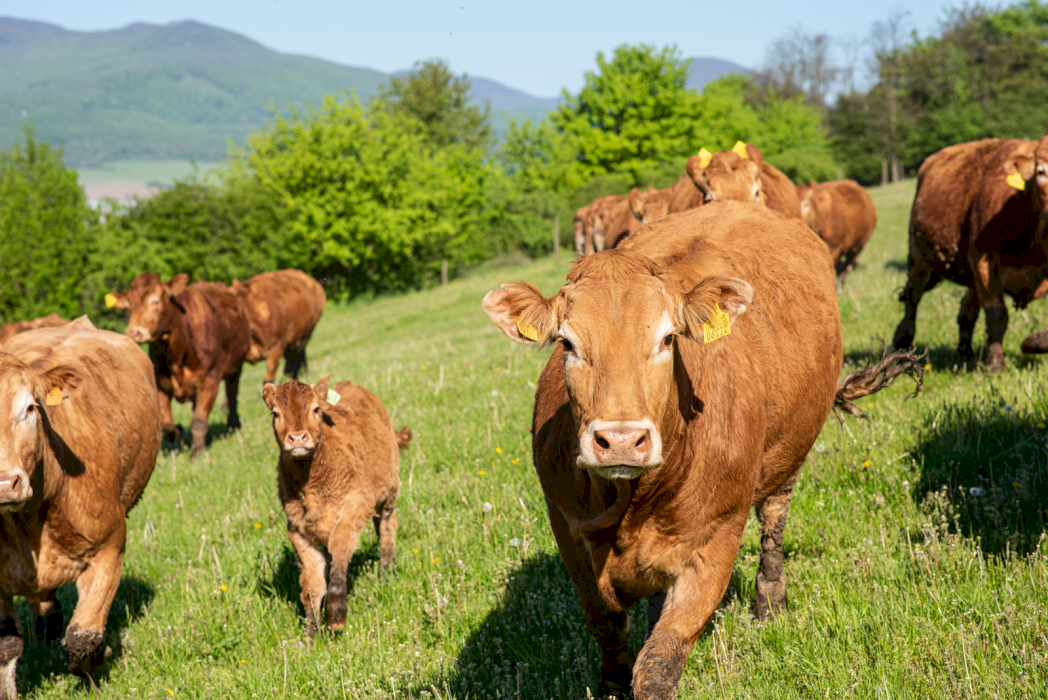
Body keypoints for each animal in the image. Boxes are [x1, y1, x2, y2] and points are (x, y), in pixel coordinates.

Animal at [0, 318, 159, 699]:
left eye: (30, 408)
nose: (4, 483)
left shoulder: (109, 549)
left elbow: (82, 638)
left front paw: (96, 663)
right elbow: (6, 648)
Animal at [109, 270, 250, 456]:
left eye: (155, 300)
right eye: (128, 306)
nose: (134, 332)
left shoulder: (209, 381)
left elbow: (199, 420)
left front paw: (197, 453)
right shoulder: (160, 383)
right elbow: (166, 424)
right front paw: (178, 432)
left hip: (236, 367)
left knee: (232, 395)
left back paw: (233, 424)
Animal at [262, 379, 408, 637]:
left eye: (316, 409)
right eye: (275, 413)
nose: (297, 438)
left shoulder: (357, 504)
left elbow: (340, 545)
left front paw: (336, 612)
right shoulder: (298, 530)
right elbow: (313, 583)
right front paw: (312, 635)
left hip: (389, 492)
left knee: (386, 529)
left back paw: (386, 573)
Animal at [479, 199, 922, 695]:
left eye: (667, 338)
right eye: (567, 343)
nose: (620, 441)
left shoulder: (716, 540)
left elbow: (659, 663)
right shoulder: (569, 535)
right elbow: (608, 633)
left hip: (787, 458)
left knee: (773, 524)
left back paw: (769, 603)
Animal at [888, 132, 1048, 370]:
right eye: (1041, 171)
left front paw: (1034, 343)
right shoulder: (983, 257)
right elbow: (996, 313)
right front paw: (995, 364)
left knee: (966, 312)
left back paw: (965, 354)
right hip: (918, 256)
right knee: (912, 300)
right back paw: (902, 345)